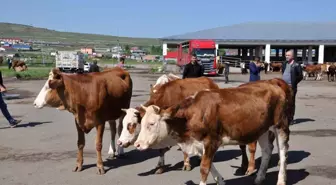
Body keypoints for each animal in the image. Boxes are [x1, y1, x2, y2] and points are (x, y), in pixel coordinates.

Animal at [135, 80, 290, 185]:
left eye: (151, 123)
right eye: (141, 123)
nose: (137, 144)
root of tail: (273, 84)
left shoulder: (212, 140)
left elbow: (204, 168)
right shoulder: (199, 143)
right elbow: (210, 166)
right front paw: (220, 180)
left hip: (280, 125)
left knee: (283, 152)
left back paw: (281, 180)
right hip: (262, 129)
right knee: (267, 150)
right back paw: (259, 177)